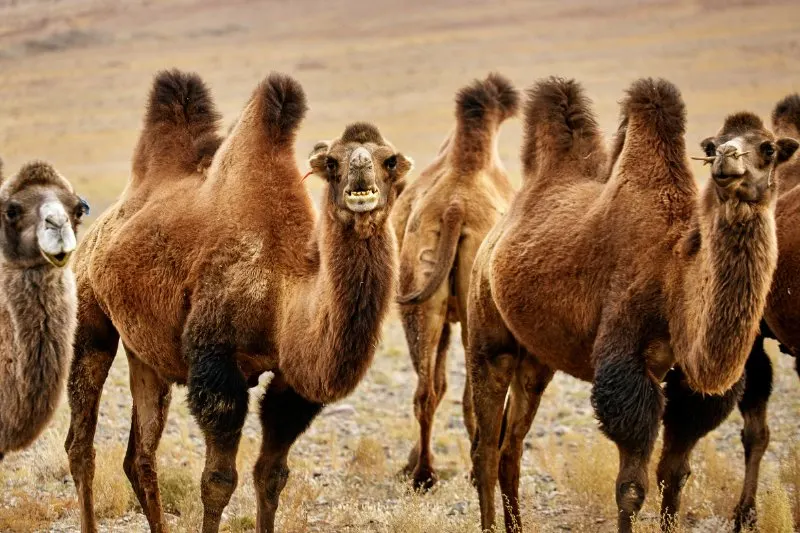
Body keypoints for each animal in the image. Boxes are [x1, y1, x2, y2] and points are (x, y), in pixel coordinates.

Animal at [63, 70, 412, 532]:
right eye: (333, 162)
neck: (284, 292)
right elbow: (218, 480)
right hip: (90, 316)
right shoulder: (216, 365)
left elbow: (271, 474)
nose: (360, 172)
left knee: (140, 455)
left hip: (146, 353)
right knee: (80, 444)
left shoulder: (292, 385)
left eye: (389, 160)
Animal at [392, 72, 520, 488]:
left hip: (419, 296)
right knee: (467, 396)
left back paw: (422, 473)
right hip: (469, 308)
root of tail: (454, 209)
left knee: (425, 391)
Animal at [466, 77, 796, 528]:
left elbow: (675, 475)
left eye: (768, 148)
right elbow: (631, 487)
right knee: (485, 448)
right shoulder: (626, 362)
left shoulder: (690, 386)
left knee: (510, 446)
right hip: (487, 334)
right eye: (713, 145)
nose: (728, 160)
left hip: (534, 360)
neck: (675, 277)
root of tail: (494, 237)